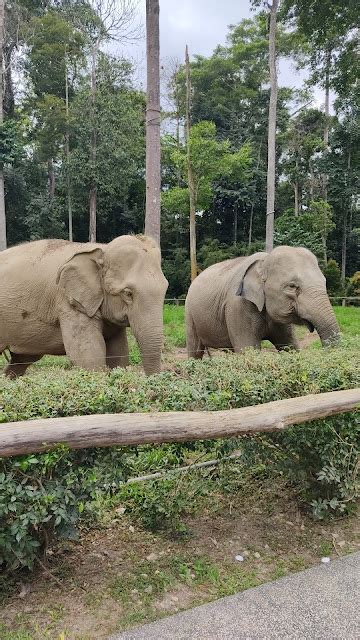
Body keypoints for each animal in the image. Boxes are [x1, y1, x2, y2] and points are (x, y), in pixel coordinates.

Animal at [0, 234, 169, 376]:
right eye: (128, 293)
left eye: (165, 289)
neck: (101, 249)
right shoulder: (69, 302)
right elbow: (88, 358)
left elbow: (119, 354)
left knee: (22, 359)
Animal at [186, 245, 340, 358]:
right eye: (292, 286)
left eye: (324, 282)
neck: (264, 261)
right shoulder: (238, 306)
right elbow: (248, 349)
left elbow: (290, 345)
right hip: (189, 312)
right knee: (195, 350)